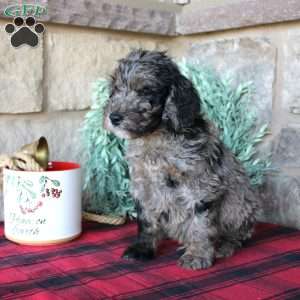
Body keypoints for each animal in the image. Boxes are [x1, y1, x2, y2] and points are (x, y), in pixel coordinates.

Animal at [104, 49, 262, 270]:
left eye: (145, 91)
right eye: (116, 89)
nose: (114, 117)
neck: (155, 136)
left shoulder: (201, 183)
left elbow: (200, 222)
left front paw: (197, 255)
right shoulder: (143, 185)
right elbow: (146, 221)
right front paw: (142, 248)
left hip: (240, 205)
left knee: (238, 234)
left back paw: (224, 246)